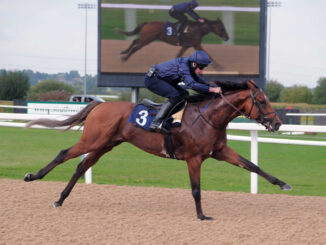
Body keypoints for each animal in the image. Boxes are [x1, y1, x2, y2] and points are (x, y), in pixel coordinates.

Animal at [24, 80, 292, 220]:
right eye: (263, 101)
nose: (277, 123)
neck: (208, 118)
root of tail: (99, 105)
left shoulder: (220, 152)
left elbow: (252, 165)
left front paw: (283, 184)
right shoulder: (194, 158)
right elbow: (196, 189)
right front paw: (201, 215)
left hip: (105, 145)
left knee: (80, 167)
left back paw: (60, 199)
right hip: (92, 140)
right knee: (64, 154)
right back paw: (32, 176)